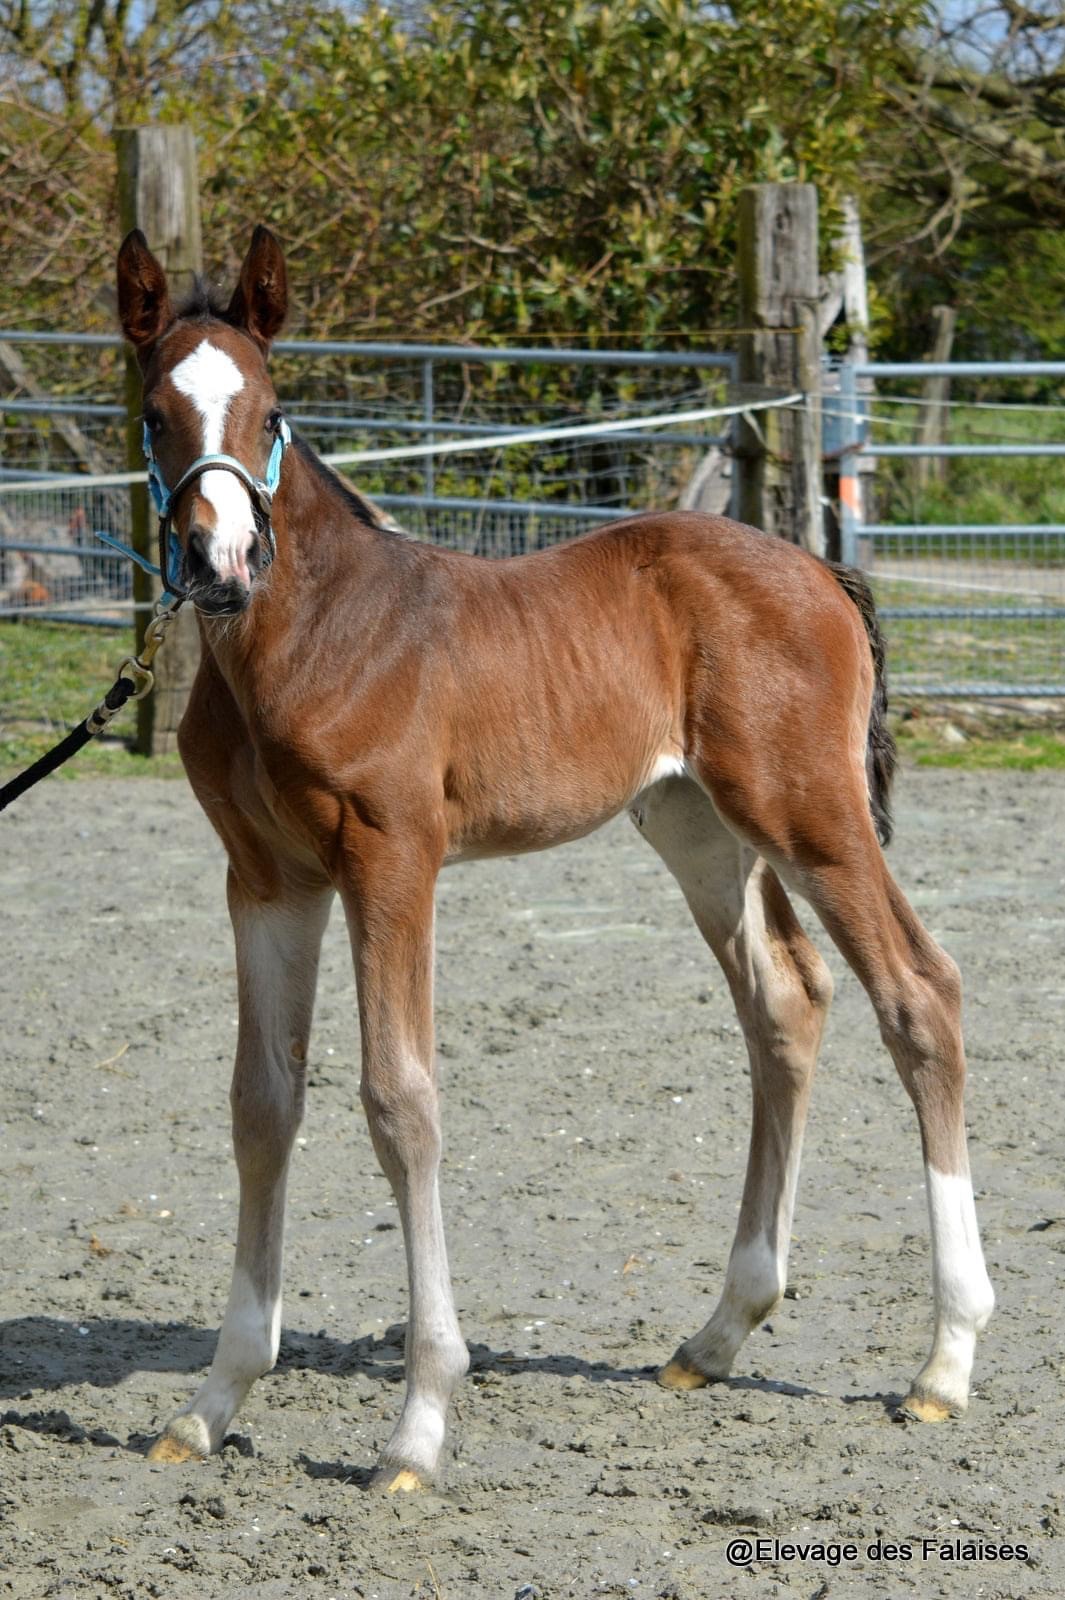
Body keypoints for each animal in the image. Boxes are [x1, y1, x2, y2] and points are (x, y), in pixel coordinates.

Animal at [119, 222, 991, 1484]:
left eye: (270, 407)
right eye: (153, 412)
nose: (220, 558)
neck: (307, 633)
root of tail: (820, 570)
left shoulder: (393, 861)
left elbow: (400, 1101)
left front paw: (421, 1423)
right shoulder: (267, 881)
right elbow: (261, 1103)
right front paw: (213, 1400)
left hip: (811, 814)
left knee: (919, 992)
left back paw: (945, 1361)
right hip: (699, 827)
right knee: (786, 1001)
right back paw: (719, 1332)